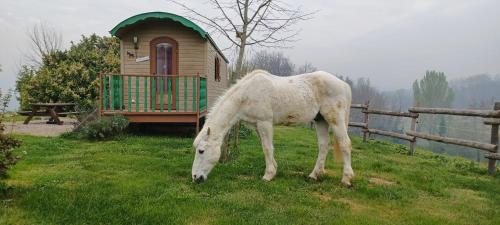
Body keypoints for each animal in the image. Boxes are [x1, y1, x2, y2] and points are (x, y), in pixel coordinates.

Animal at [189, 70, 354, 186]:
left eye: (201, 151)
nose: (196, 177)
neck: (246, 94)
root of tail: (343, 85)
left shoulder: (265, 122)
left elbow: (267, 148)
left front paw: (268, 175)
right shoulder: (257, 125)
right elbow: (266, 147)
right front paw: (273, 169)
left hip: (335, 119)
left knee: (345, 144)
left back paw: (346, 179)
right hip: (320, 120)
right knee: (323, 145)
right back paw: (314, 175)